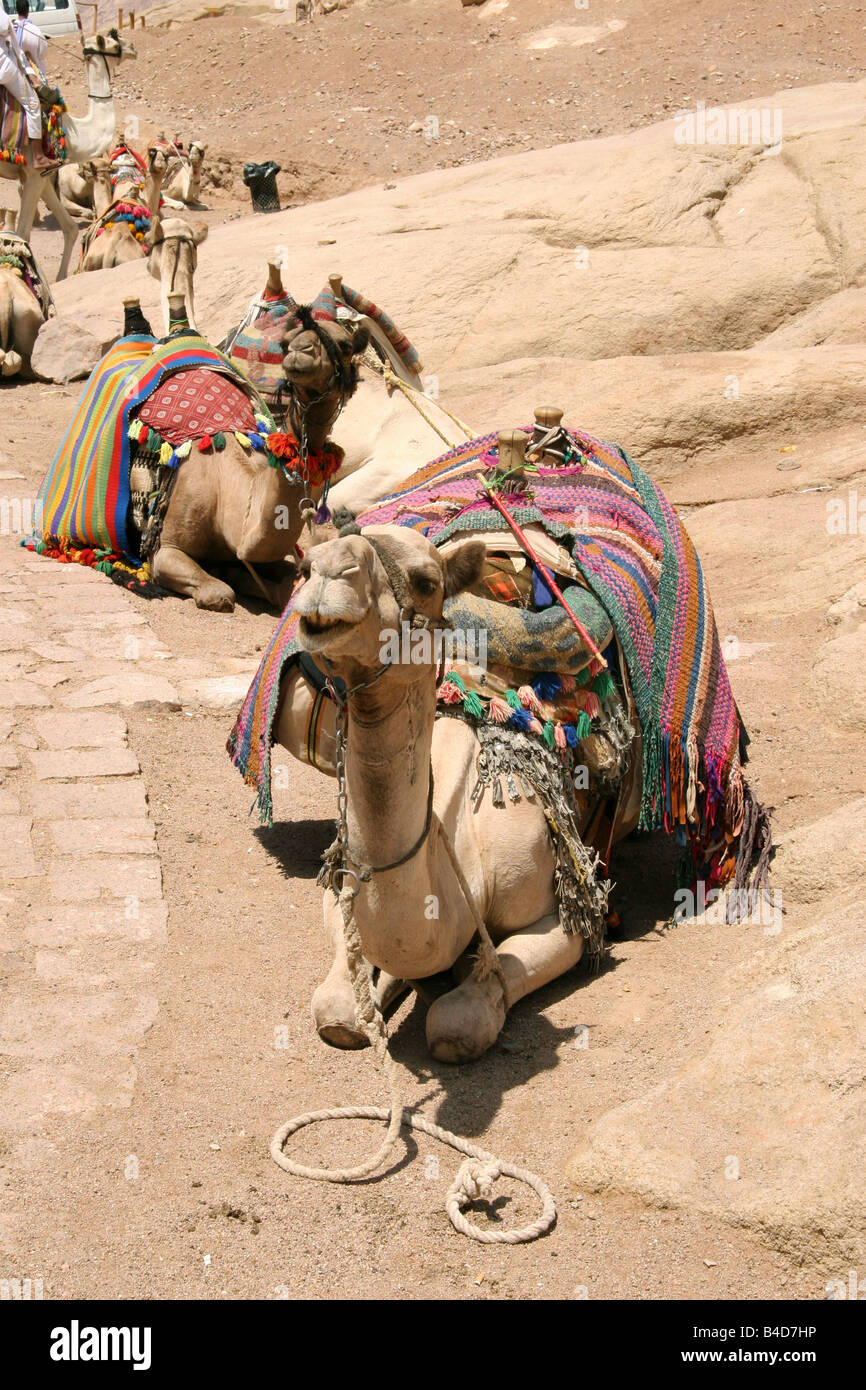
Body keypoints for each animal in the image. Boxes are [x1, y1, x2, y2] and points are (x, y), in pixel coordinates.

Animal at [286, 528, 644, 1061]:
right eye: (305, 565)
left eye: (425, 582)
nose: (329, 569)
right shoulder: (340, 890)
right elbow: (337, 1009)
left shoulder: (564, 917)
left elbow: (461, 1018)